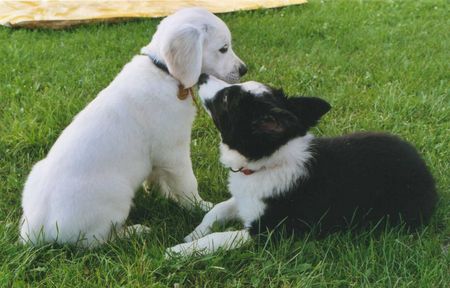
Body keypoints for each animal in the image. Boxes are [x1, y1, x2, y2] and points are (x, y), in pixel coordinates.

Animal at [20, 7, 246, 246]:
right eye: (223, 48)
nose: (244, 69)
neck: (163, 72)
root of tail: (34, 231)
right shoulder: (174, 153)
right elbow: (187, 184)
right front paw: (200, 206)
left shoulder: (159, 157)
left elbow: (158, 178)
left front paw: (162, 194)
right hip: (116, 196)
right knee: (97, 240)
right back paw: (135, 231)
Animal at [167, 74, 438, 256]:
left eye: (225, 99)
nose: (202, 76)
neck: (270, 161)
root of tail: (423, 167)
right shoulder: (245, 199)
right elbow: (217, 210)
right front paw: (193, 234)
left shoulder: (270, 230)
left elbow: (220, 237)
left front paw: (179, 251)